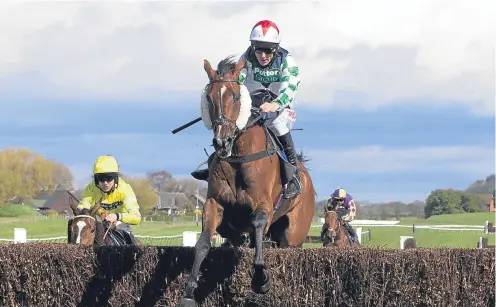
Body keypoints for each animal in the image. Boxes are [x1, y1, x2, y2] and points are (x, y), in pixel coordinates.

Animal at [178, 56, 316, 307]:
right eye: (209, 97)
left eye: (235, 96)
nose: (221, 141)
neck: (238, 156)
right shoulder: (214, 203)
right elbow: (203, 242)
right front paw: (189, 291)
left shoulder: (264, 205)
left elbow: (258, 225)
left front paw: (261, 279)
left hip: (294, 234)